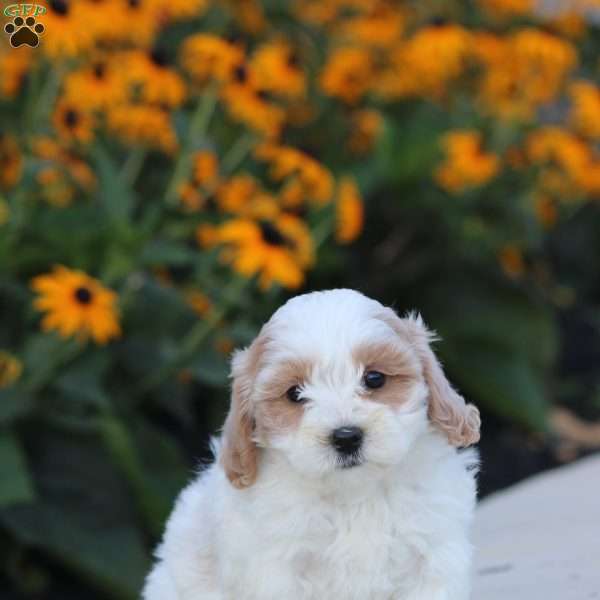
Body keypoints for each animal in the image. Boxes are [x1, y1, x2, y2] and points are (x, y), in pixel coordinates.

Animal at [143, 288, 480, 596]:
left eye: (374, 378)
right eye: (295, 393)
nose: (346, 437)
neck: (355, 494)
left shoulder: (432, 554)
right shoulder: (277, 571)